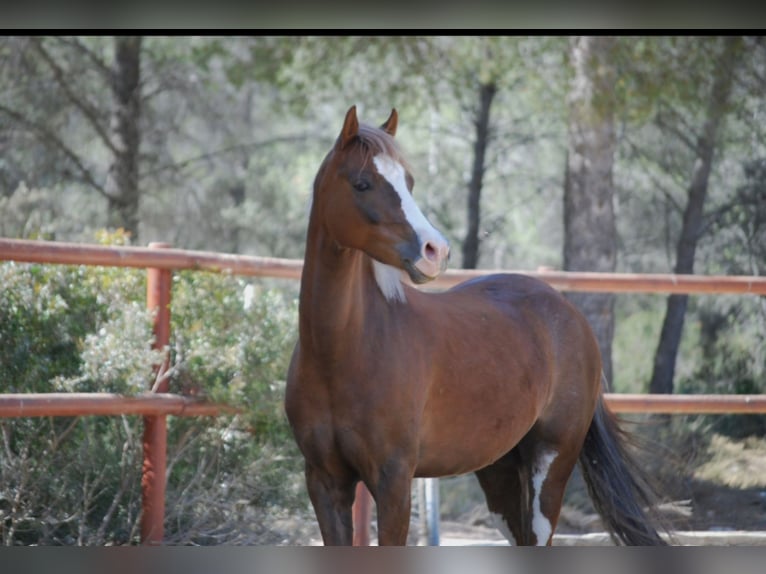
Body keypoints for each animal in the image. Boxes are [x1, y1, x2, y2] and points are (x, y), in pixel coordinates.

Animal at [284, 106, 668, 548]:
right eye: (362, 183)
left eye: (408, 182)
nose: (435, 251)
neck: (343, 350)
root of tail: (569, 313)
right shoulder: (325, 482)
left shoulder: (393, 482)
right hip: (498, 470)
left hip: (551, 463)